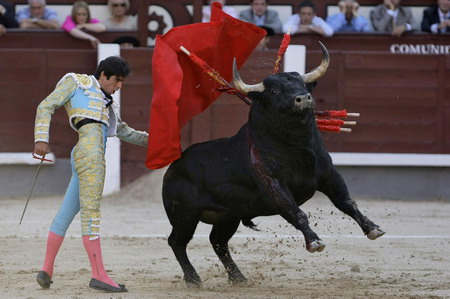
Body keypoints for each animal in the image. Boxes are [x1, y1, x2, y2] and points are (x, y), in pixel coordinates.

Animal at [161, 42, 384, 288]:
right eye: (275, 91)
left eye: (302, 84)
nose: (303, 98)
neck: (296, 146)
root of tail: (174, 165)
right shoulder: (274, 185)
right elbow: (296, 212)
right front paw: (314, 242)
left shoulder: (329, 175)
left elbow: (346, 202)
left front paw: (373, 228)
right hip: (185, 215)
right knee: (177, 242)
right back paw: (193, 279)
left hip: (228, 216)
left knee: (218, 242)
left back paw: (238, 277)